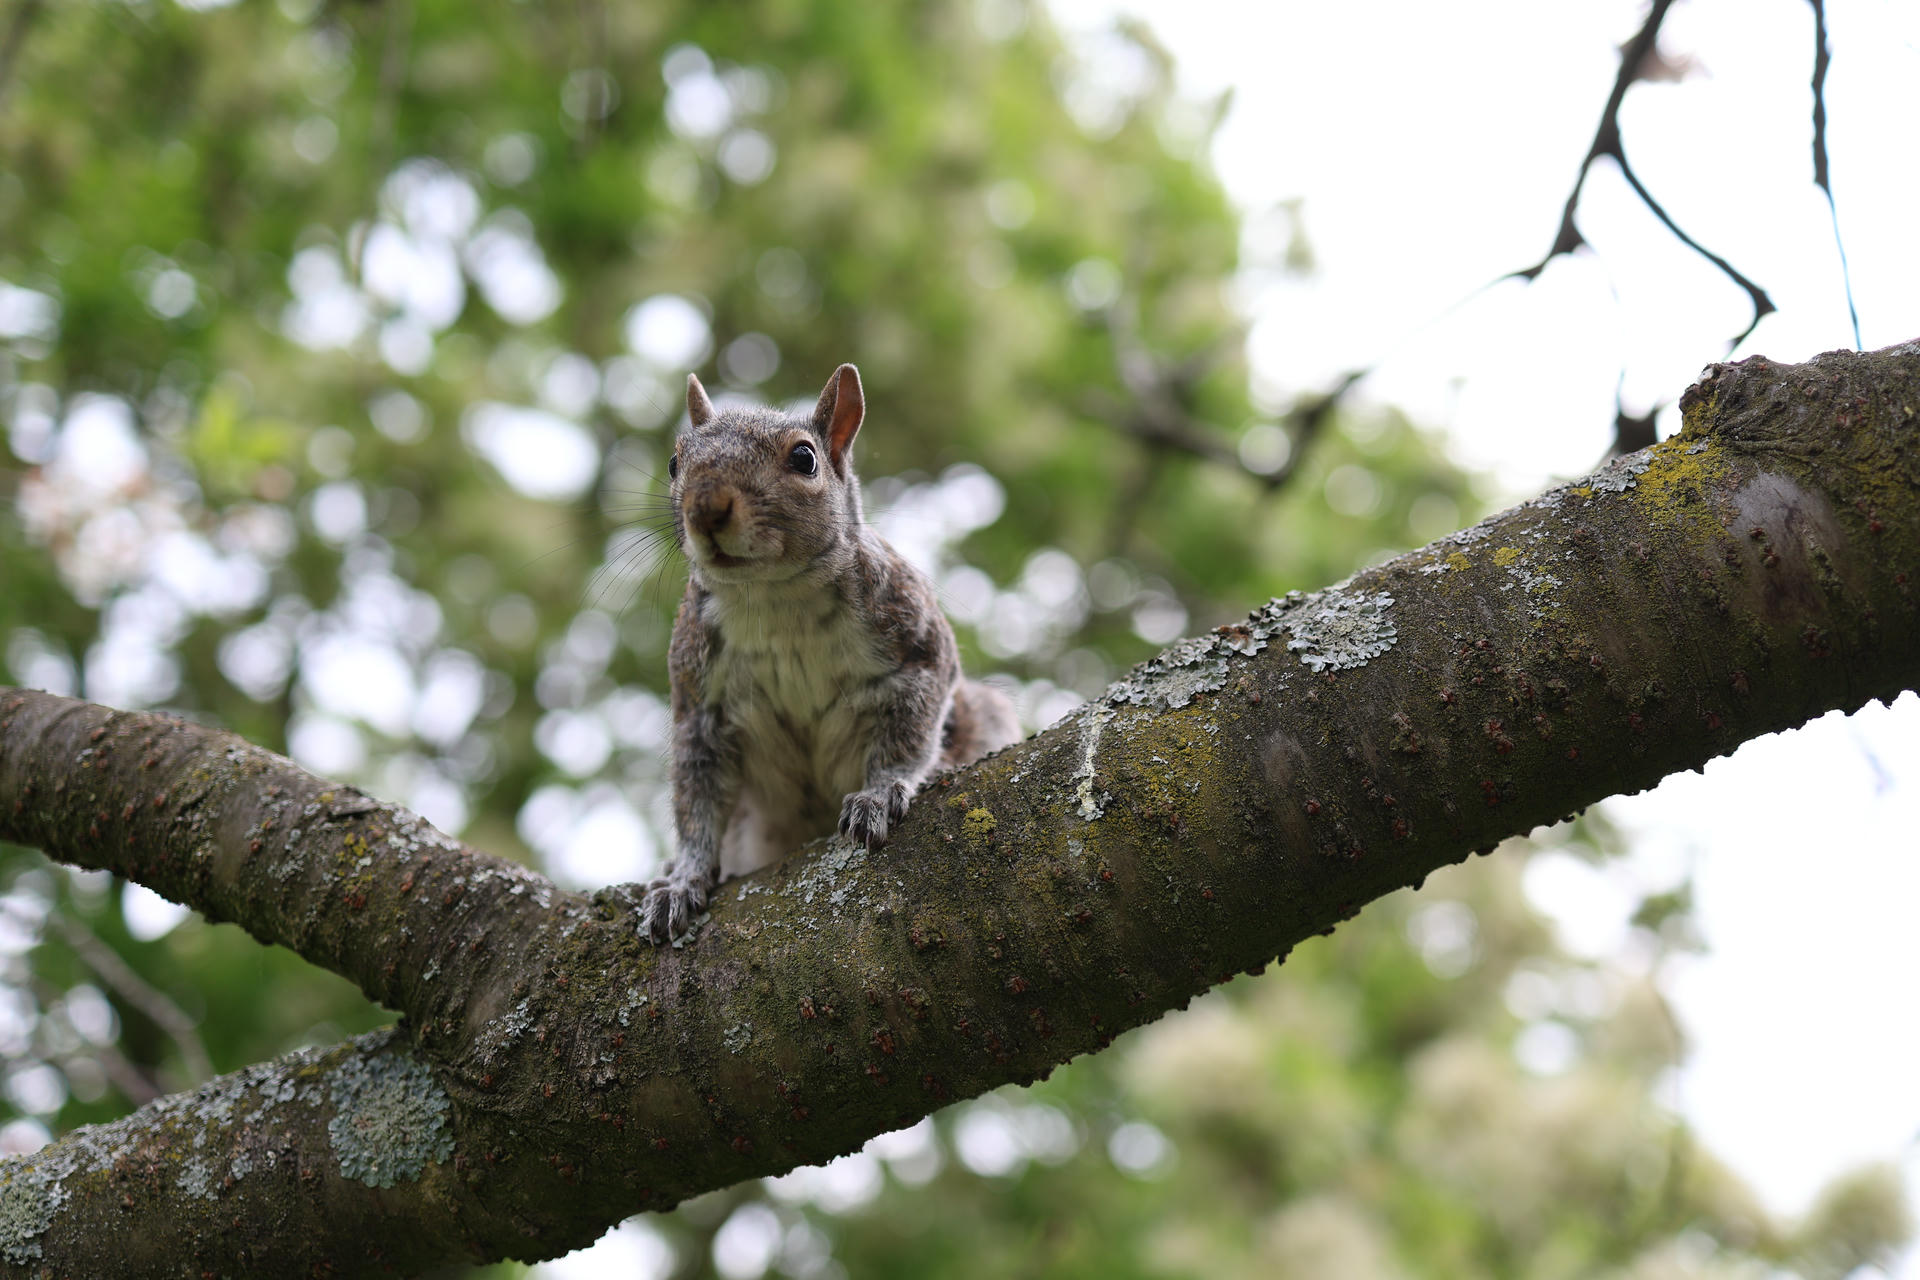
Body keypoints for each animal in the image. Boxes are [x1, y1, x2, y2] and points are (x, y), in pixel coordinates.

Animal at [638, 363, 1022, 944]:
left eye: (804, 458)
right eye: (675, 462)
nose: (705, 508)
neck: (774, 597)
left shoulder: (917, 646)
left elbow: (908, 735)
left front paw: (879, 796)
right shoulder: (699, 700)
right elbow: (695, 800)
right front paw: (683, 878)